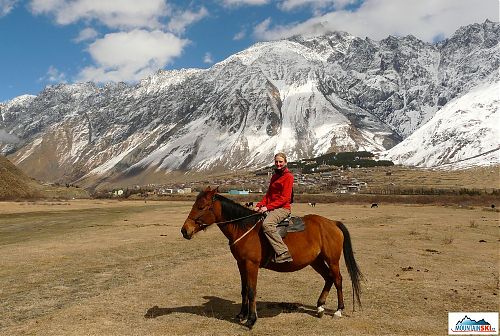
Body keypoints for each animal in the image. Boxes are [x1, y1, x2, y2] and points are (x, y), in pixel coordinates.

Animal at [182, 188, 362, 330]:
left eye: (201, 207)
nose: (185, 230)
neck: (244, 228)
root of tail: (332, 223)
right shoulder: (241, 264)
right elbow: (244, 289)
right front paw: (241, 315)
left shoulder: (251, 265)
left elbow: (251, 290)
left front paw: (251, 320)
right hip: (316, 261)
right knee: (328, 278)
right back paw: (320, 307)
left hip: (332, 260)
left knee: (337, 279)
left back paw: (338, 310)